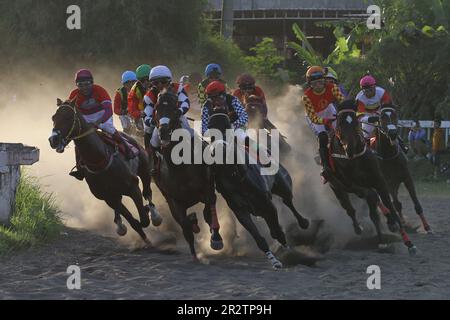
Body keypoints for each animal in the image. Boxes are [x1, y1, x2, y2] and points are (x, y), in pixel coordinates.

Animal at [48, 99, 162, 242]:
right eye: (54, 117)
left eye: (68, 117)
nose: (53, 140)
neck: (100, 160)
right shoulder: (109, 197)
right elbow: (134, 222)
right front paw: (142, 238)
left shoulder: (133, 187)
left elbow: (144, 219)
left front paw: (148, 213)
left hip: (144, 170)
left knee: (147, 192)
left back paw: (154, 214)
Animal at [204, 104, 310, 268]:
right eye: (211, 130)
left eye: (226, 127)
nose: (220, 148)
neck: (237, 179)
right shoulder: (241, 212)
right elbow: (259, 239)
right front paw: (274, 261)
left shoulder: (268, 205)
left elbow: (277, 232)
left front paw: (290, 253)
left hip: (283, 184)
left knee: (288, 201)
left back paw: (303, 222)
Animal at [326, 100, 416, 255]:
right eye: (382, 117)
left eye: (395, 115)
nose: (393, 133)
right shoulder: (359, 186)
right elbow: (378, 202)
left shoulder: (389, 180)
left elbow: (394, 205)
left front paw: (411, 238)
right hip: (338, 188)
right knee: (352, 208)